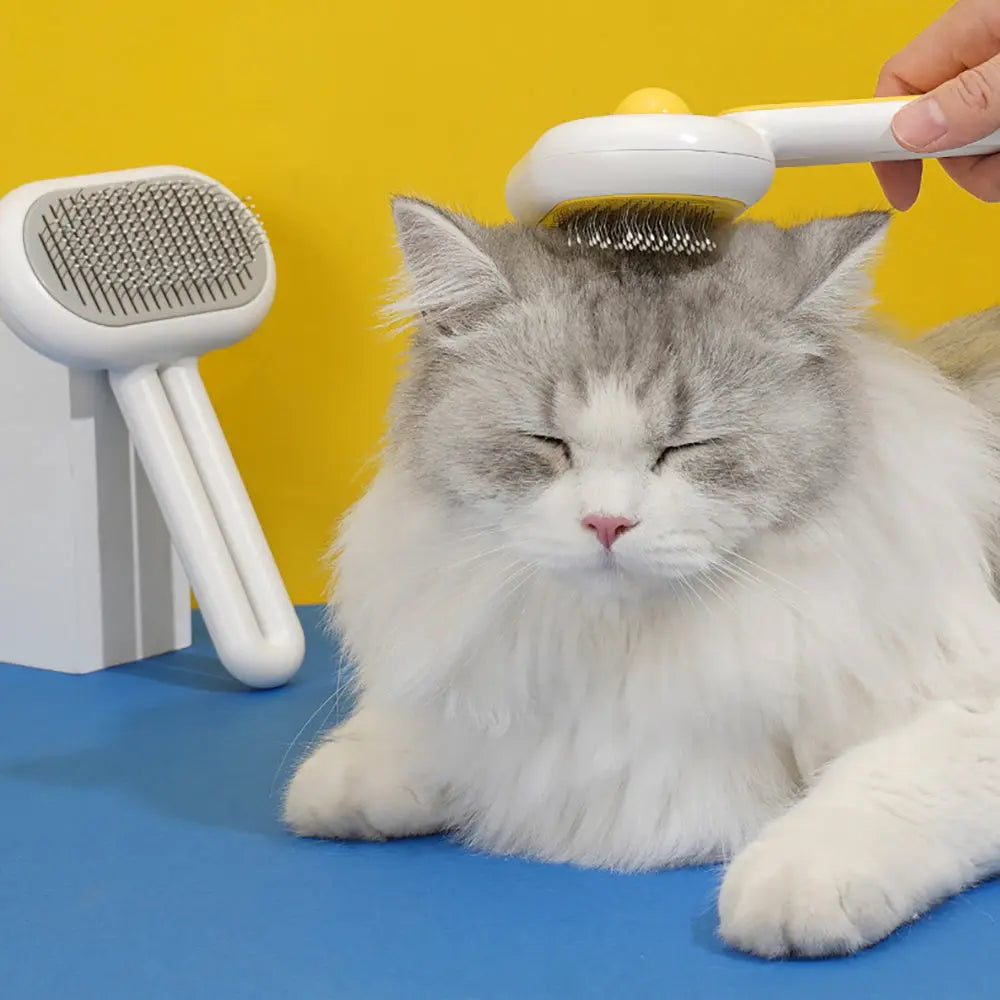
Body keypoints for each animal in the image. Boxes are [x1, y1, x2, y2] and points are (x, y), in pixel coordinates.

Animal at [280, 197, 1000, 960]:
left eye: (686, 448)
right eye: (548, 444)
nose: (607, 523)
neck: (623, 643)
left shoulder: (965, 701)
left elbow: (883, 786)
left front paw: (792, 882)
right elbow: (439, 734)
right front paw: (350, 776)